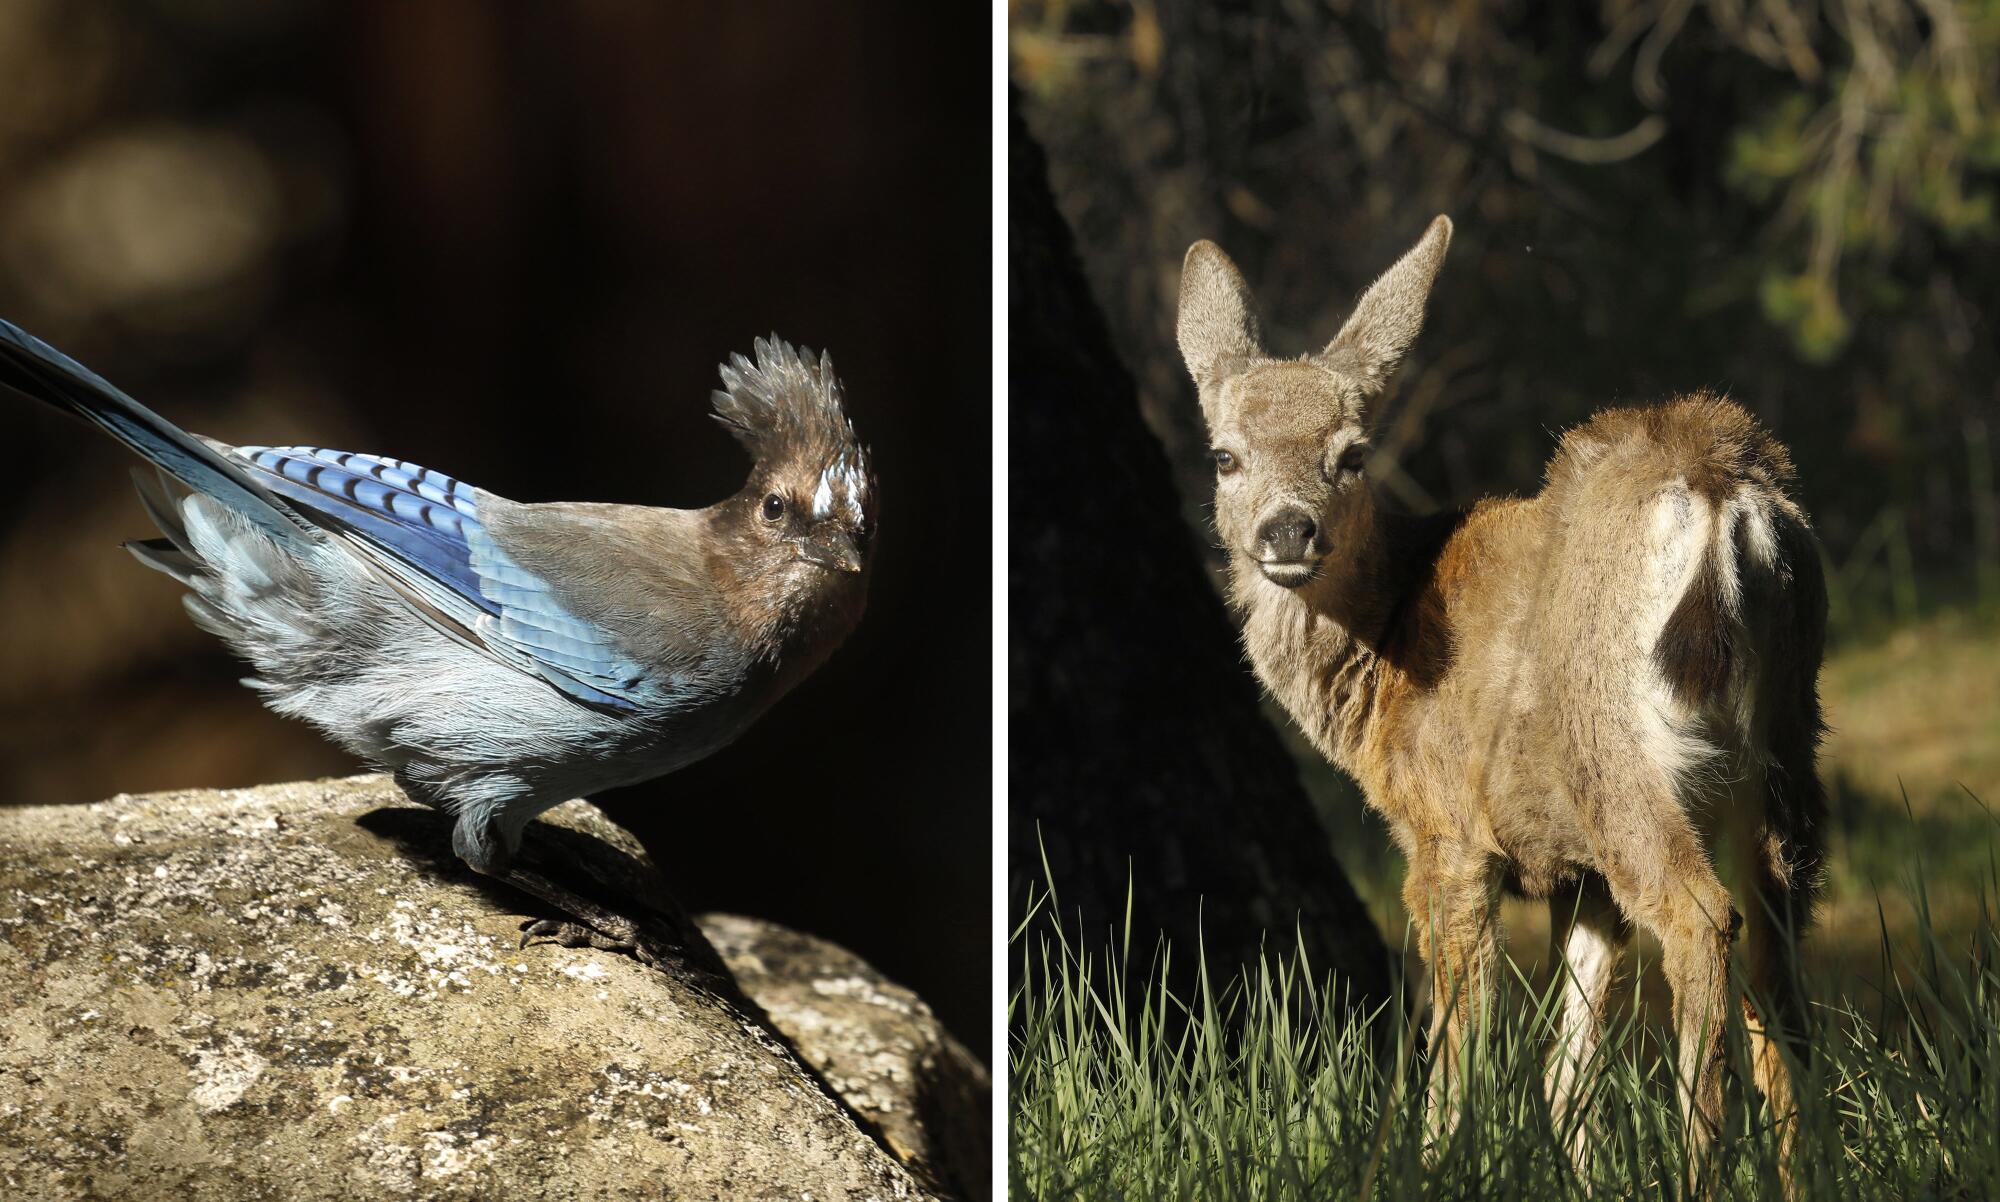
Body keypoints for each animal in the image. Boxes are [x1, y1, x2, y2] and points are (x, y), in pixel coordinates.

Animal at [1168, 216, 1832, 1184]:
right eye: (1226, 456)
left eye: (1352, 453)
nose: (1287, 529)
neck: (1380, 664)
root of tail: (1717, 489)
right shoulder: (1574, 871)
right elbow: (1568, 1065)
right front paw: (1581, 1176)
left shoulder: (1445, 834)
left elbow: (1461, 1050)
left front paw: (1435, 1167)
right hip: (1787, 746)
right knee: (1778, 965)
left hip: (1617, 750)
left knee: (1703, 919)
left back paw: (1700, 1169)